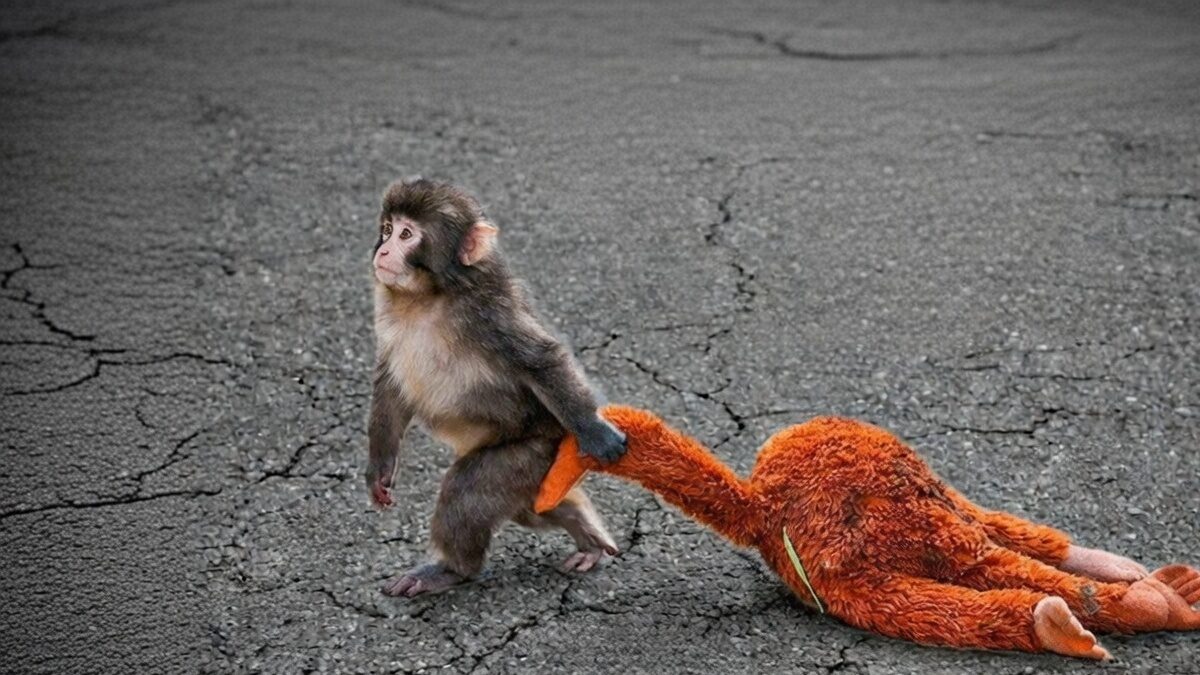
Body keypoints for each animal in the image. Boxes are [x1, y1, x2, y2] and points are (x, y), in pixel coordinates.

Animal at [365, 178, 627, 598]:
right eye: (387, 229)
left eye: (407, 235)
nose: (384, 250)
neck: (427, 297)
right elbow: (390, 386)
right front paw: (379, 468)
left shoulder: (488, 312)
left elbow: (540, 360)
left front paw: (596, 431)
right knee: (531, 508)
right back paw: (586, 534)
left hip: (534, 450)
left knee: (469, 491)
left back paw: (451, 570)